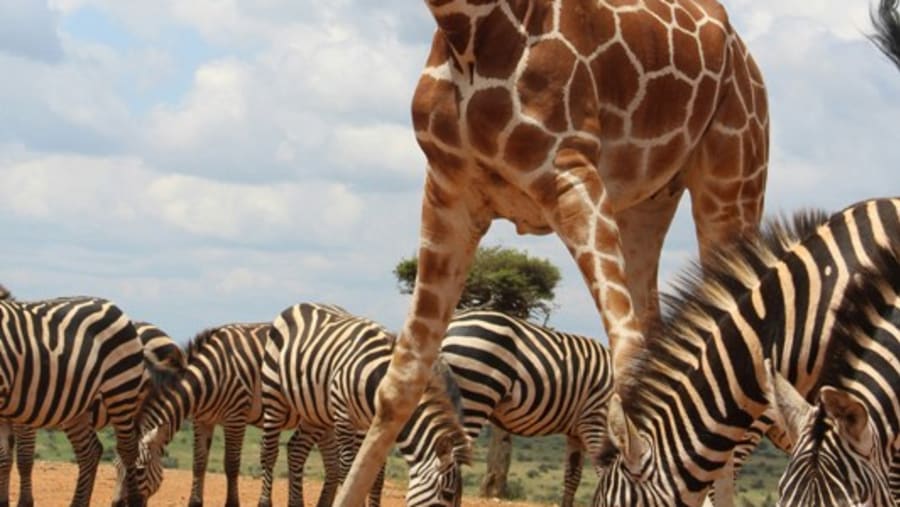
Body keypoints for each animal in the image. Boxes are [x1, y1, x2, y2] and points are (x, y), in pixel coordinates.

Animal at [336, 1, 768, 503]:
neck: (466, 30)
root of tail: (742, 51)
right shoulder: (449, 189)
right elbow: (403, 377)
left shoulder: (570, 172)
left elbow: (630, 369)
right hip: (647, 203)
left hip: (734, 177)